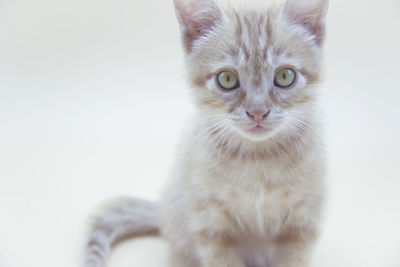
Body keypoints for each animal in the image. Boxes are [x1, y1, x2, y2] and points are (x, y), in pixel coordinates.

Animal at [84, 0, 328, 266]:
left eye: (285, 76)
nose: (257, 112)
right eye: (227, 79)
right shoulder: (210, 224)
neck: (258, 160)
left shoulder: (303, 221)